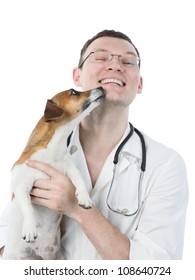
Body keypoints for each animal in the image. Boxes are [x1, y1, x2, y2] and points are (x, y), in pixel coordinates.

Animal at [2, 86, 104, 260]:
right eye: (74, 92)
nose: (101, 87)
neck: (52, 152)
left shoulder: (69, 168)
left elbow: (79, 180)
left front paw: (84, 197)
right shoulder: (21, 185)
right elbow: (27, 207)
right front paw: (30, 228)